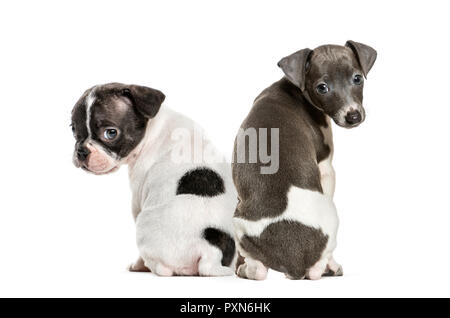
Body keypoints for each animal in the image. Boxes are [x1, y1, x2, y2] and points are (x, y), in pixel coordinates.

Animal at [71, 82, 236, 276]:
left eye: (110, 133)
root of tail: (211, 253)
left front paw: (136, 266)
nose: (81, 151)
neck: (153, 129)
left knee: (162, 269)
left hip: (144, 226)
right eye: (74, 130)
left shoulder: (137, 197)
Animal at [232, 41, 376, 280]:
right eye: (322, 87)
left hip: (239, 219)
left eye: (357, 78)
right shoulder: (326, 169)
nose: (353, 116)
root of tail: (294, 261)